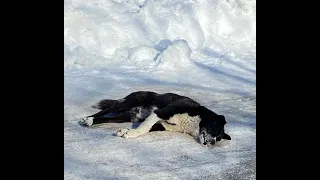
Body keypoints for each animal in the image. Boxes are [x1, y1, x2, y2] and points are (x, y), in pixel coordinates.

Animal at [79, 90, 230, 147]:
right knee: (104, 111)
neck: (195, 122)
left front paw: (126, 132)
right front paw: (131, 133)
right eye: (215, 129)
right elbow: (144, 128)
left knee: (107, 118)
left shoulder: (162, 125)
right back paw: (88, 119)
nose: (212, 143)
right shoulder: (161, 112)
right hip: (125, 104)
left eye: (218, 139)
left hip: (125, 116)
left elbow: (148, 128)